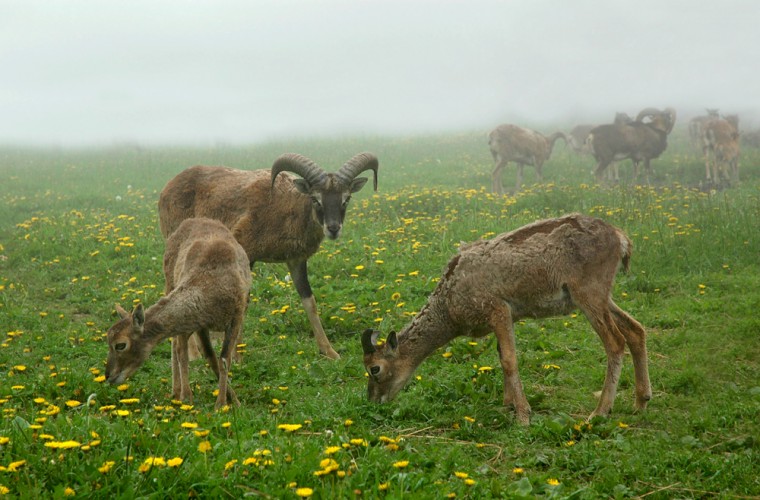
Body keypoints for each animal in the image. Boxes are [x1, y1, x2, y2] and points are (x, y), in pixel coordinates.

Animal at [104, 217, 251, 408]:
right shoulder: (197, 324)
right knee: (176, 345)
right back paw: (176, 391)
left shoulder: (235, 317)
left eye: (120, 345)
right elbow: (194, 355)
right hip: (169, 281)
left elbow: (223, 359)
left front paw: (226, 402)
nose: (109, 376)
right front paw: (187, 398)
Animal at [158, 152, 380, 360]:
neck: (285, 207)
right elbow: (244, 303)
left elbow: (309, 302)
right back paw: (194, 355)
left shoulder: (296, 261)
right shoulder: (248, 254)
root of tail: (167, 188)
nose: (333, 229)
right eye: (315, 199)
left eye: (346, 199)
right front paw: (236, 356)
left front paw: (330, 352)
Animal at [362, 213, 652, 424]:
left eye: (375, 368)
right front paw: (507, 404)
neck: (450, 306)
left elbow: (509, 359)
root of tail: (622, 239)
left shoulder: (497, 308)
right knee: (636, 329)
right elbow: (501, 355)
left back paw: (600, 411)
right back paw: (641, 401)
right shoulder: (507, 316)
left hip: (588, 292)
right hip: (602, 294)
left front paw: (523, 414)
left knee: (615, 341)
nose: (373, 401)